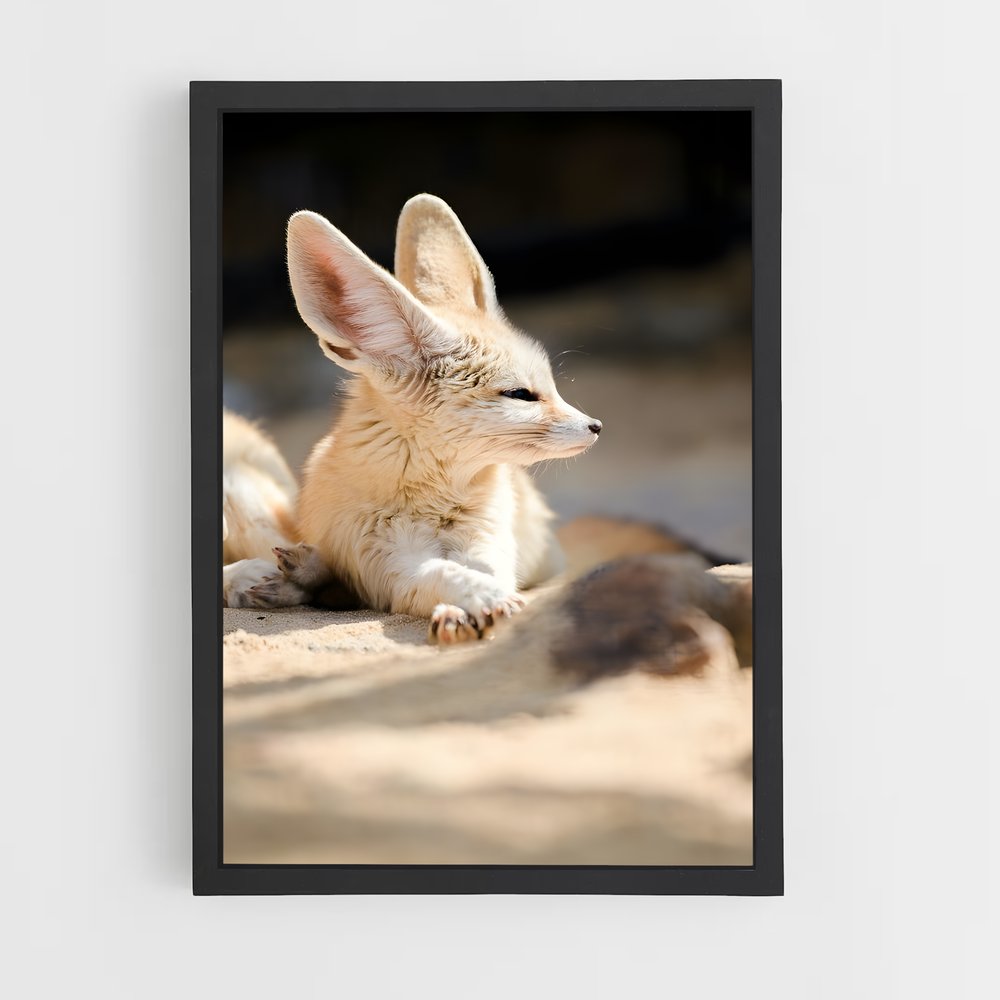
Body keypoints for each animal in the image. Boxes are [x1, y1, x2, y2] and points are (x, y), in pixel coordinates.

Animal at [223, 194, 602, 642]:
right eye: (521, 395)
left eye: (551, 387)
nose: (596, 427)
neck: (436, 503)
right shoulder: (391, 564)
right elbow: (441, 573)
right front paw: (473, 603)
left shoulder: (488, 544)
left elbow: (488, 573)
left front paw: (482, 604)